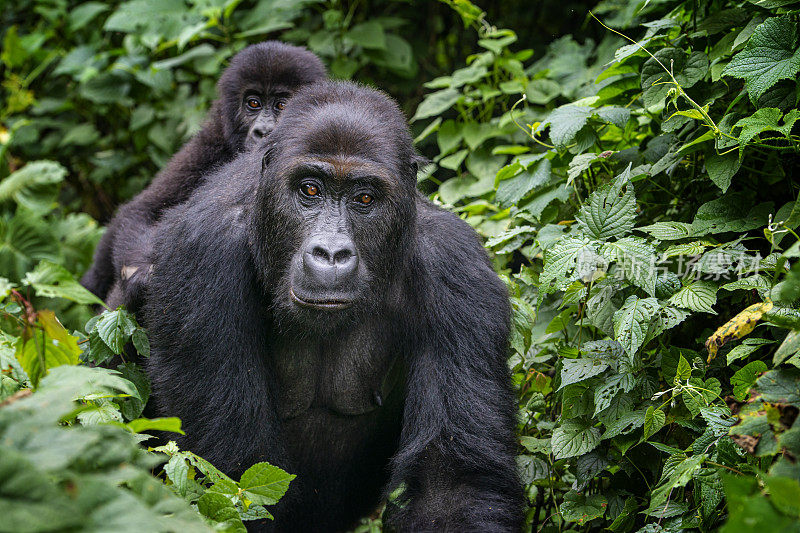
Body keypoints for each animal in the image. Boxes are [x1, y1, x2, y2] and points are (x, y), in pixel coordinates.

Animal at [83, 41, 326, 308]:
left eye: (282, 105)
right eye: (253, 103)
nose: (263, 131)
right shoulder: (208, 144)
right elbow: (143, 210)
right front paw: (141, 275)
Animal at [141, 81, 520, 528]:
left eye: (364, 198)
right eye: (310, 189)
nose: (331, 253)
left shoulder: (457, 270)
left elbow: (453, 484)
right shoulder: (201, 255)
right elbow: (235, 478)